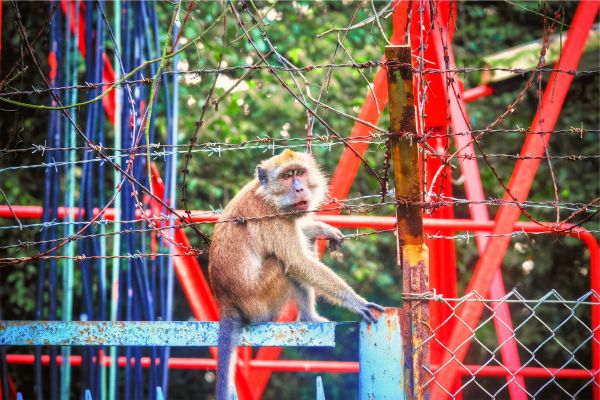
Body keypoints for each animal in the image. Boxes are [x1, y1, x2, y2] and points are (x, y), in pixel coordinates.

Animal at [209, 148, 382, 398]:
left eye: (299, 173)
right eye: (286, 176)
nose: (299, 188)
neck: (268, 195)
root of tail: (225, 301)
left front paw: (322, 228)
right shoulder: (273, 217)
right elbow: (298, 262)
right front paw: (357, 302)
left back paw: (309, 317)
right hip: (260, 303)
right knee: (284, 264)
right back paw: (309, 316)